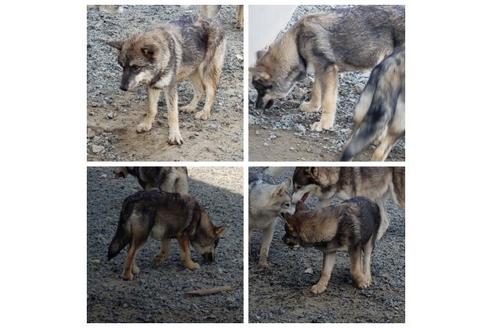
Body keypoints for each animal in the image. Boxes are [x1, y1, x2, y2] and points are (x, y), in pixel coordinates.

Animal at [106, 15, 226, 144]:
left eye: (136, 67)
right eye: (122, 66)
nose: (122, 88)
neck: (162, 61)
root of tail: (214, 20)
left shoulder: (170, 88)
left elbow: (172, 114)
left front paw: (174, 135)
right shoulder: (153, 86)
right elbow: (151, 109)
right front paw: (147, 124)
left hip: (206, 70)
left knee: (211, 91)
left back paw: (205, 112)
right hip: (192, 70)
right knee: (200, 90)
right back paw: (190, 107)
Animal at [254, 5, 404, 131]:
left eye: (261, 91)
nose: (255, 108)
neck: (297, 43)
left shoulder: (328, 72)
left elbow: (328, 100)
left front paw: (324, 123)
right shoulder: (319, 70)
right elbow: (316, 92)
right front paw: (312, 107)